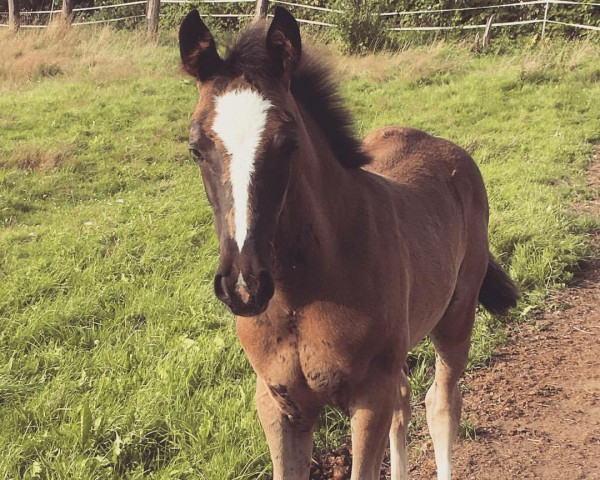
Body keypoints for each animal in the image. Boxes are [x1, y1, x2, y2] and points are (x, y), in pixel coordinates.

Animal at [179, 8, 520, 480]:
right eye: (196, 148)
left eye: (289, 143)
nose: (244, 285)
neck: (302, 297)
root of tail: (449, 149)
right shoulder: (277, 404)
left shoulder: (368, 399)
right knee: (405, 401)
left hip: (456, 317)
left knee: (441, 403)